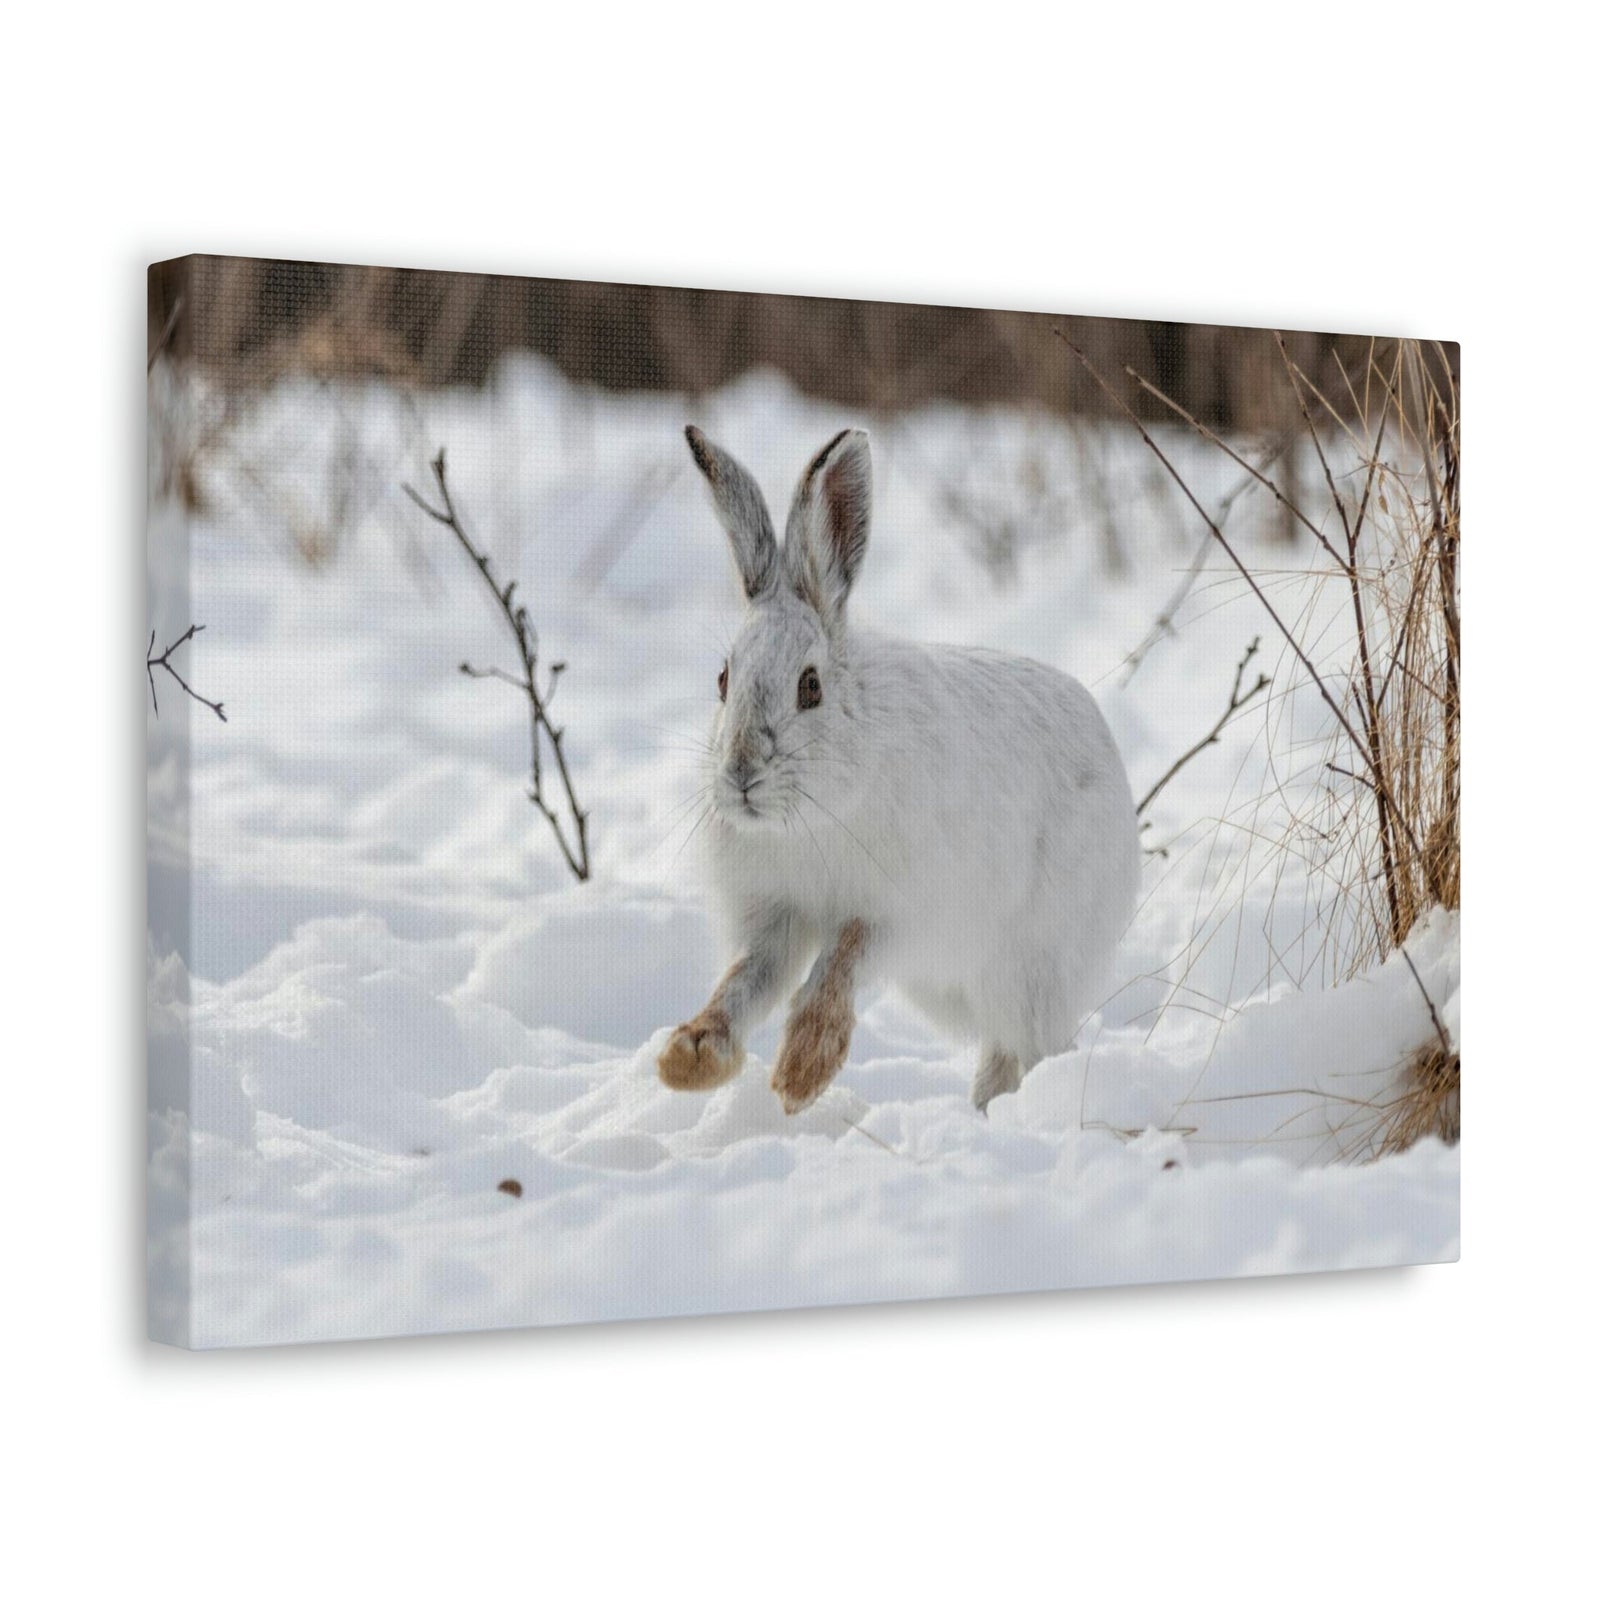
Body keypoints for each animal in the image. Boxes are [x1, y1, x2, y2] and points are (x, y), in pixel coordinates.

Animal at [657, 424, 1141, 1115]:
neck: (808, 814)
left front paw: (801, 1072)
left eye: (810, 688)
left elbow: (842, 959)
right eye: (723, 681)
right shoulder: (773, 917)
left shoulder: (894, 911)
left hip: (1033, 966)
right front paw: (689, 1058)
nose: (741, 773)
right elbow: (744, 981)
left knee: (1029, 1047)